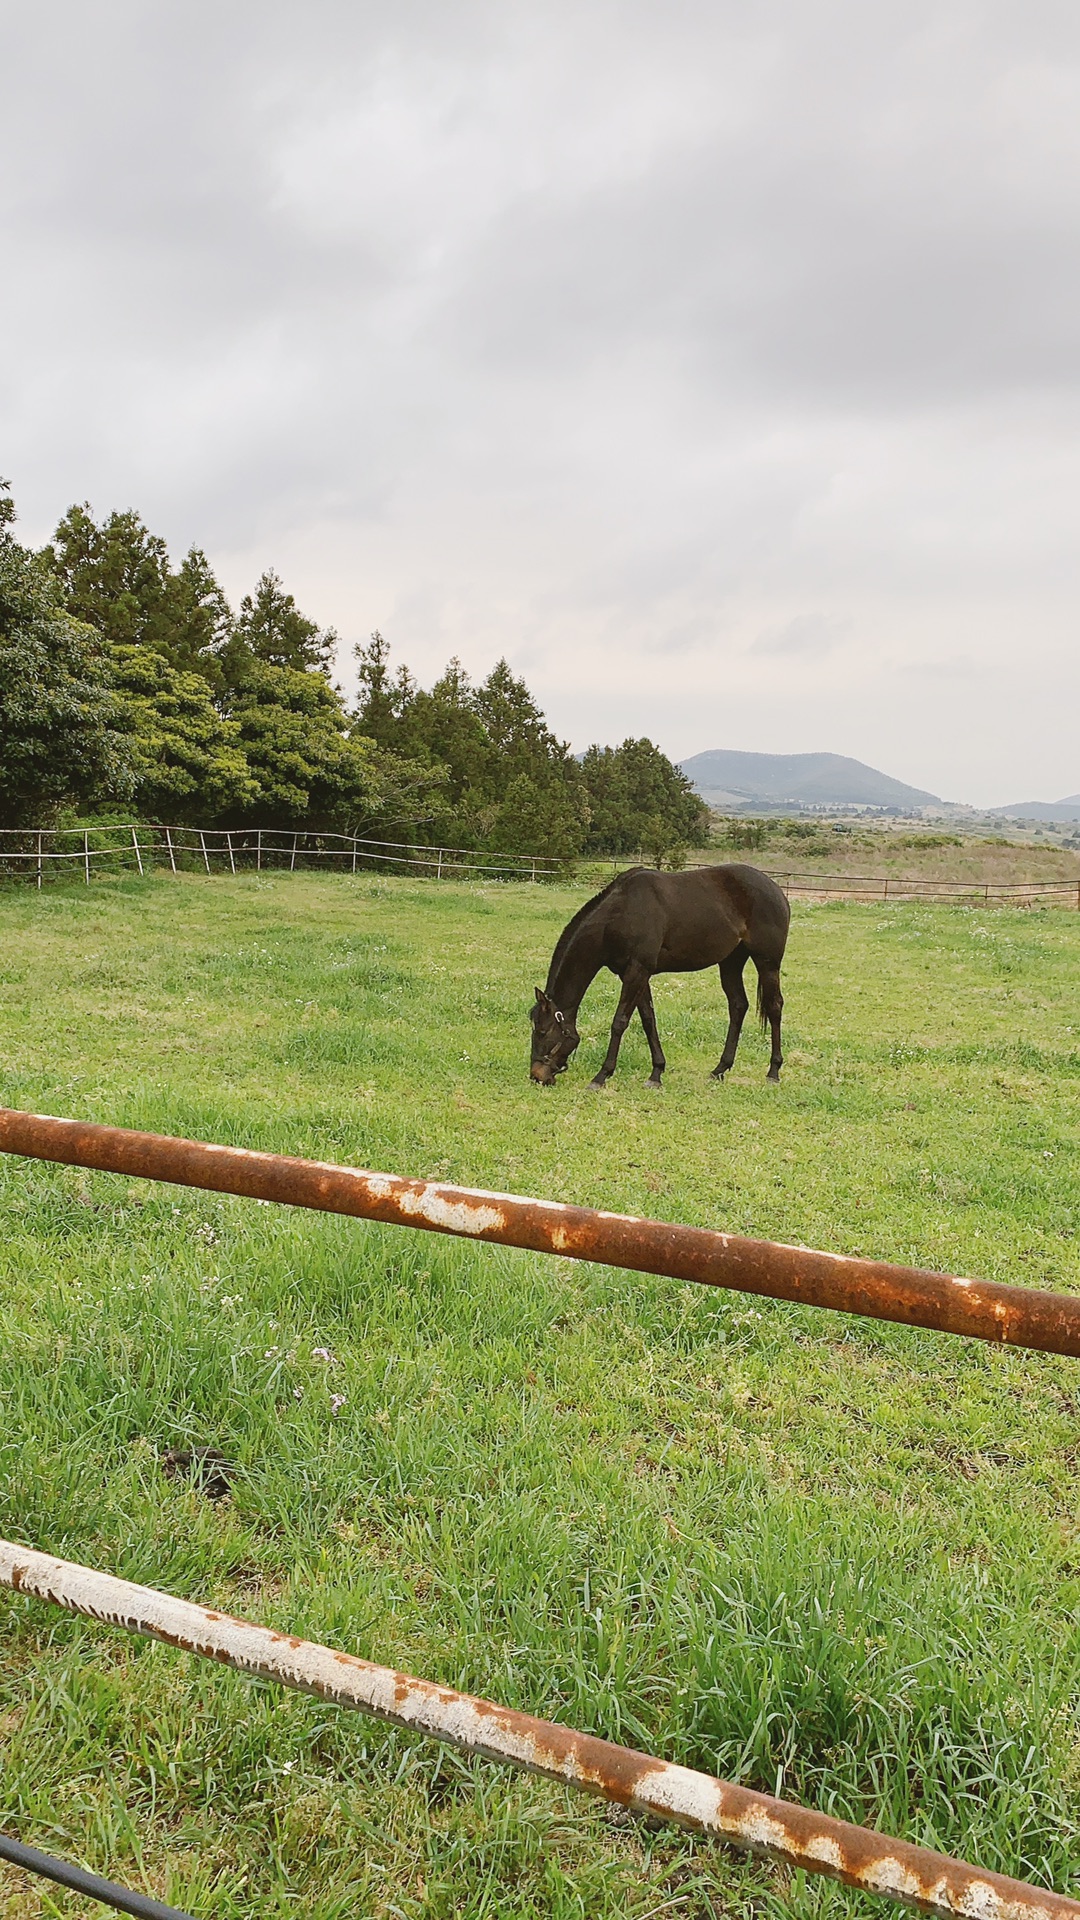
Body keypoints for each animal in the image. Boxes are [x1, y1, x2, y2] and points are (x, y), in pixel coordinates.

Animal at [526, 864, 787, 1090]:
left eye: (542, 1032)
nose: (537, 1075)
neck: (619, 913)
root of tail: (777, 891)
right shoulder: (634, 974)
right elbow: (648, 1020)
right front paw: (656, 1073)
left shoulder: (637, 971)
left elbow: (619, 1022)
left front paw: (601, 1076)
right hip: (731, 962)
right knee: (738, 1006)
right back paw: (719, 1069)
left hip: (767, 963)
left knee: (774, 1006)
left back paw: (773, 1072)